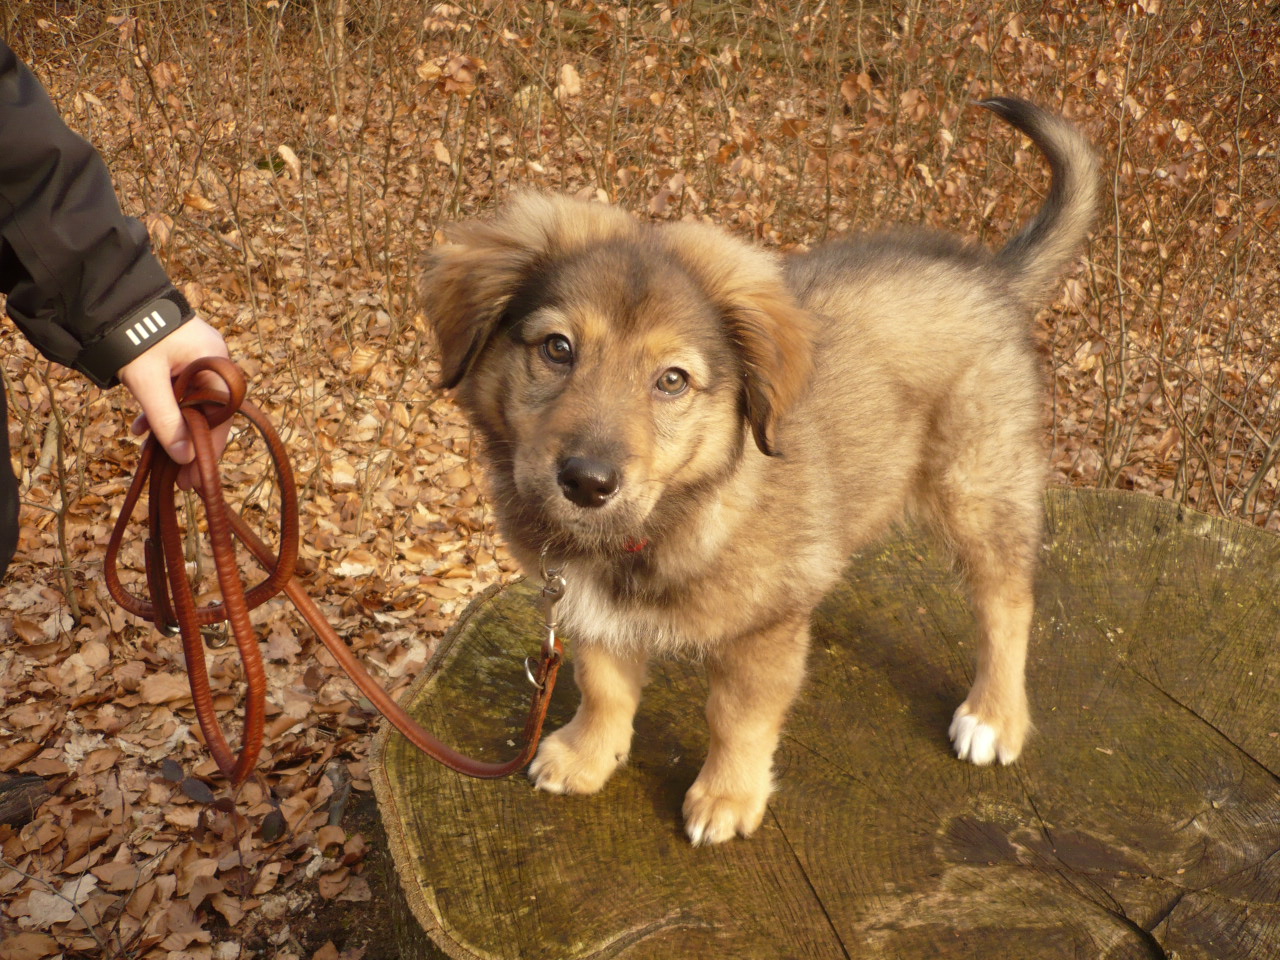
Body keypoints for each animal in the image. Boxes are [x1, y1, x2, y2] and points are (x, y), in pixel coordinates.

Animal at [422, 97, 1100, 844]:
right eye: (557, 348)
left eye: (672, 381)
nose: (588, 483)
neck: (673, 513)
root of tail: (992, 277)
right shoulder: (588, 605)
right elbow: (603, 682)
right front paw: (587, 755)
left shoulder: (761, 633)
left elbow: (737, 717)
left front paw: (726, 796)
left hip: (978, 484)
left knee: (1008, 600)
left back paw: (994, 715)